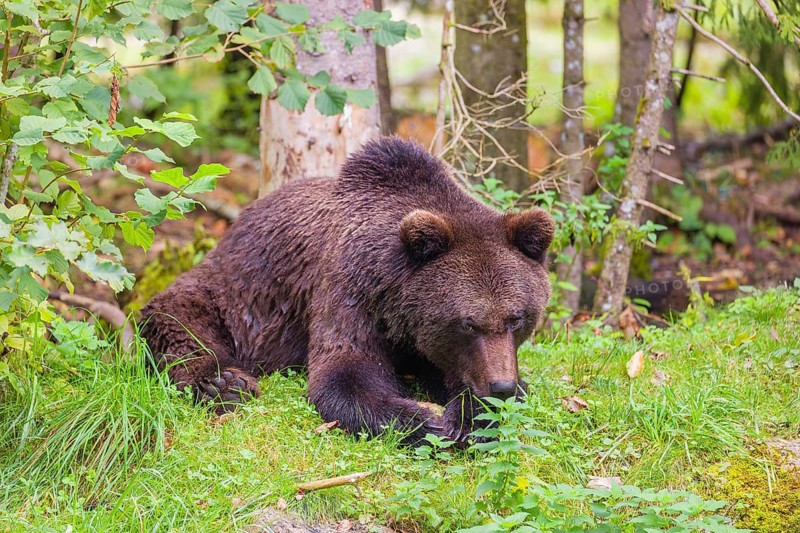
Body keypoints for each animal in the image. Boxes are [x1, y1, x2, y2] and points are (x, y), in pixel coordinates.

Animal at [140, 137, 554, 445]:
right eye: (468, 323)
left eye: (516, 318)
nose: (500, 385)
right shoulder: (347, 288)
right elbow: (344, 372)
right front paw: (424, 420)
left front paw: (467, 416)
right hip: (228, 292)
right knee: (180, 321)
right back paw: (223, 383)